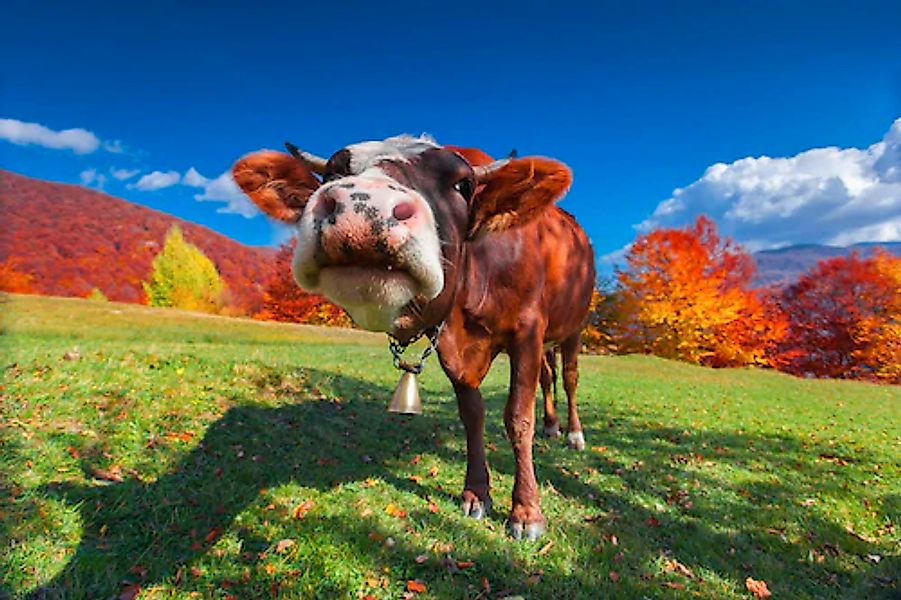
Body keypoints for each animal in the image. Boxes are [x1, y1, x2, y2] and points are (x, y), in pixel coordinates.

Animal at [234, 135, 596, 540]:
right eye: (331, 174)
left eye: (463, 185)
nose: (364, 206)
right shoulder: (453, 349)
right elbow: (472, 415)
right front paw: (476, 493)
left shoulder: (528, 331)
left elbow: (518, 417)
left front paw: (526, 512)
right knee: (548, 377)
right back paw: (552, 425)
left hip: (574, 326)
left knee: (569, 378)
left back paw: (573, 434)